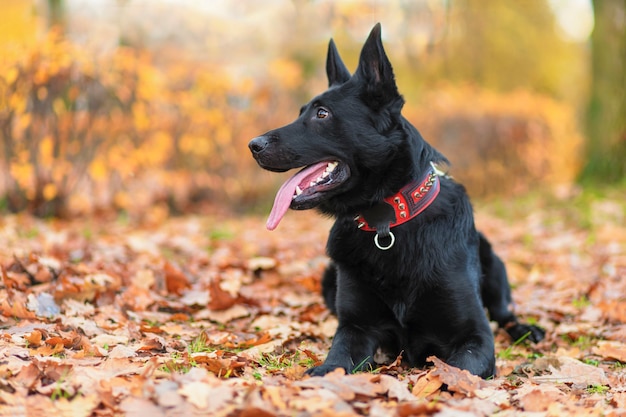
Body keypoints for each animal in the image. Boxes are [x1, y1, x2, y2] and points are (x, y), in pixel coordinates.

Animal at [249, 24, 540, 378]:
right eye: (301, 112)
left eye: (322, 114)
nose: (253, 145)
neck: (388, 221)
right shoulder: (355, 327)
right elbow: (338, 358)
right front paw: (323, 373)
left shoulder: (474, 335)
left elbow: (457, 370)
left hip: (494, 265)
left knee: (504, 312)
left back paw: (526, 329)